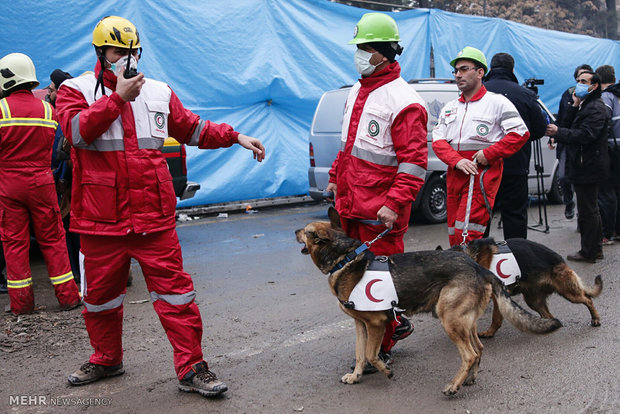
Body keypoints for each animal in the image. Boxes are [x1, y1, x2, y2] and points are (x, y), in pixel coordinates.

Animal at [296, 209, 560, 396]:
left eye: (306, 232)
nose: (296, 230)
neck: (345, 259)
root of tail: (479, 268)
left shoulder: (376, 323)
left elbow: (371, 354)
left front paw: (386, 371)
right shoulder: (361, 326)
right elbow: (361, 355)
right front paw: (355, 376)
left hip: (450, 320)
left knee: (469, 354)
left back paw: (453, 385)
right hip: (465, 323)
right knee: (478, 349)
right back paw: (469, 379)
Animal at [460, 238, 600, 338]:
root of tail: (560, 259)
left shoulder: (498, 296)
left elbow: (496, 318)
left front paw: (490, 332)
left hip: (568, 291)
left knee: (588, 299)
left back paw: (595, 319)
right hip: (534, 301)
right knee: (549, 315)